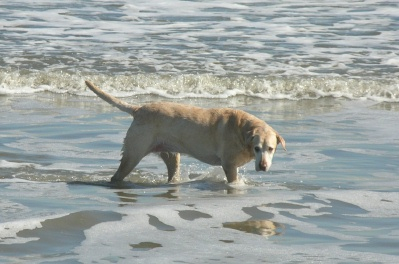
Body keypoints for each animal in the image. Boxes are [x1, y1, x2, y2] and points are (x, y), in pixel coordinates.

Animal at [84, 80, 286, 184]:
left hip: (172, 155)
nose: (263, 166)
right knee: (117, 174)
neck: (242, 131)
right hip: (134, 152)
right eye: (257, 148)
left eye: (270, 149)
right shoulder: (229, 165)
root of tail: (139, 109)